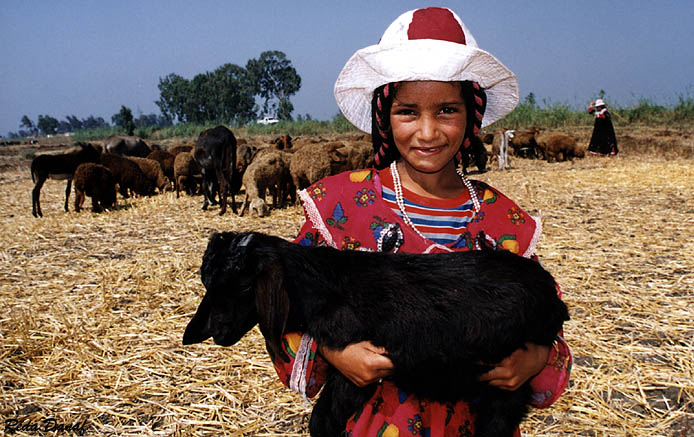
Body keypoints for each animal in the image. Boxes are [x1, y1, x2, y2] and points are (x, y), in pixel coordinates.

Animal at [184, 232, 572, 436]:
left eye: (243, 285)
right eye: (208, 282)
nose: (215, 331)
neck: (329, 286)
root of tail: (552, 297)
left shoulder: (353, 370)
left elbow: (324, 419)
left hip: (509, 384)